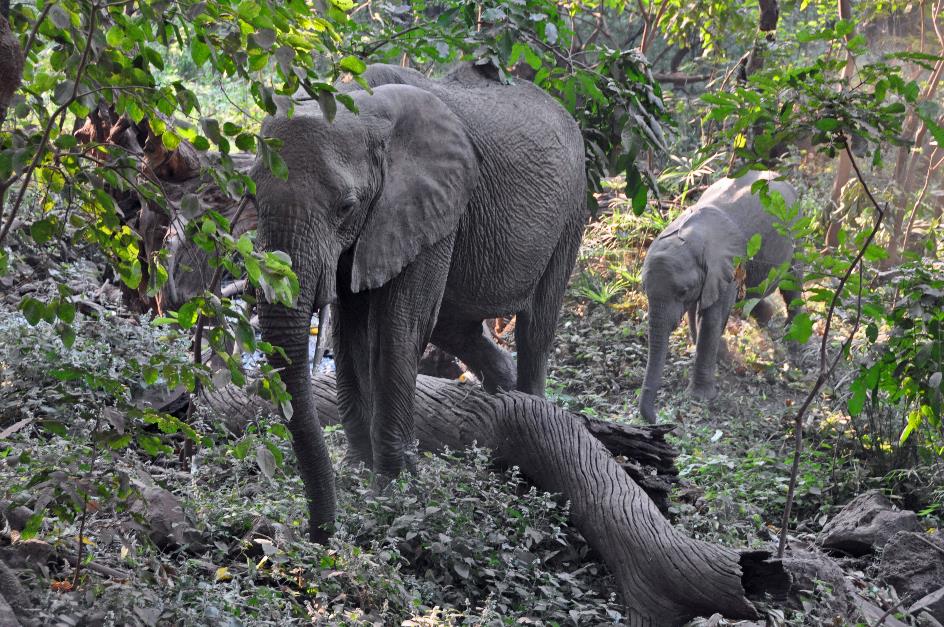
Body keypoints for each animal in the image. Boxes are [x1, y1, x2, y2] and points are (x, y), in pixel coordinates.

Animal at [254, 65, 588, 544]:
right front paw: (357, 474)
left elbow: (398, 327)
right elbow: (350, 332)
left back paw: (529, 417)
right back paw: (502, 403)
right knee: (457, 327)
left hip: (572, 210)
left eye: (345, 207)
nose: (321, 534)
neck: (362, 106)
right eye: (253, 201)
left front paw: (394, 490)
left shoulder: (428, 206)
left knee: (535, 328)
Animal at [636, 172, 800, 424]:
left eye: (682, 291)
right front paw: (721, 355)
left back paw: (794, 342)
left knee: (793, 278)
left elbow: (710, 320)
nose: (656, 418)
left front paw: (701, 397)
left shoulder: (727, 266)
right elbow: (697, 314)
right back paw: (765, 318)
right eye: (644, 288)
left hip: (797, 228)